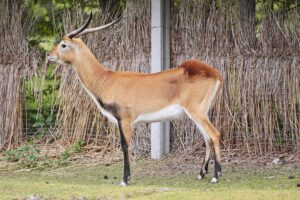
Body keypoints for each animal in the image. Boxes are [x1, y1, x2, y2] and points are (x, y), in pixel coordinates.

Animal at [47, 12, 223, 186]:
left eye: (63, 44)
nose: (49, 55)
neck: (106, 80)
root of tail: (215, 73)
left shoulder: (124, 120)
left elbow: (125, 146)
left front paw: (125, 179)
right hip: (195, 114)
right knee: (207, 139)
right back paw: (201, 174)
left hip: (197, 112)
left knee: (214, 134)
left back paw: (215, 176)